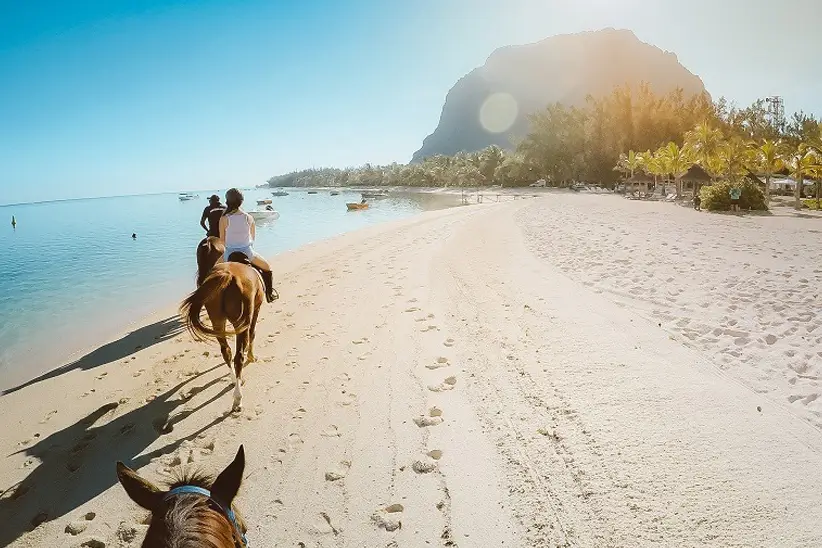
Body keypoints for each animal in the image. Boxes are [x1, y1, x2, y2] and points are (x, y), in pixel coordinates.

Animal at [182, 237, 264, 412]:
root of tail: (228, 275)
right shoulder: (256, 309)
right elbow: (252, 333)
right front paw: (252, 356)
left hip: (217, 321)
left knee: (226, 351)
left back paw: (234, 381)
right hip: (241, 322)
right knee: (238, 357)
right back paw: (238, 398)